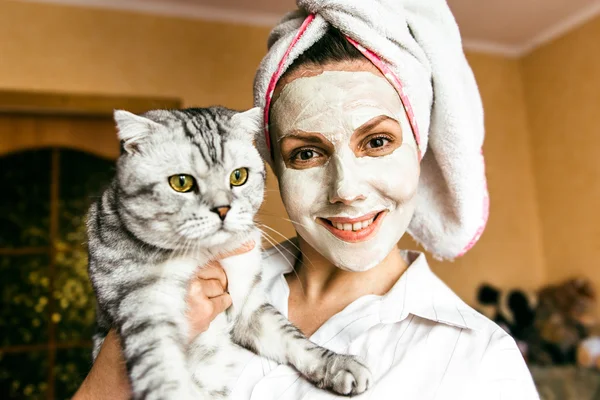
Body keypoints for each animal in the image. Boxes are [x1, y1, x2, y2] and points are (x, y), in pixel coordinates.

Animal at [86, 107, 372, 400]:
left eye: (238, 176)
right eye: (181, 182)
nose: (222, 209)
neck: (211, 254)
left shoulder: (250, 306)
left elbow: (295, 339)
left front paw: (337, 364)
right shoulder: (145, 304)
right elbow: (161, 368)